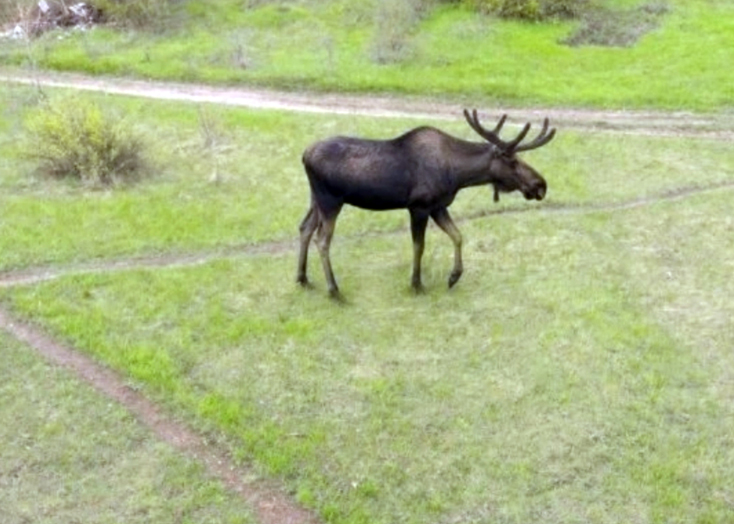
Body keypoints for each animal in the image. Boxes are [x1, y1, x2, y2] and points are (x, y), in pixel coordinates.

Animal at [296, 109, 556, 299]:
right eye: (513, 161)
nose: (541, 185)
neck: (457, 175)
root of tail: (304, 155)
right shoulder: (419, 206)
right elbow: (419, 246)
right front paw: (417, 283)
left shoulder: (439, 206)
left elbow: (458, 235)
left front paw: (454, 276)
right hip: (330, 199)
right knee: (322, 240)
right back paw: (333, 290)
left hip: (315, 198)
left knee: (305, 228)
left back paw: (302, 278)